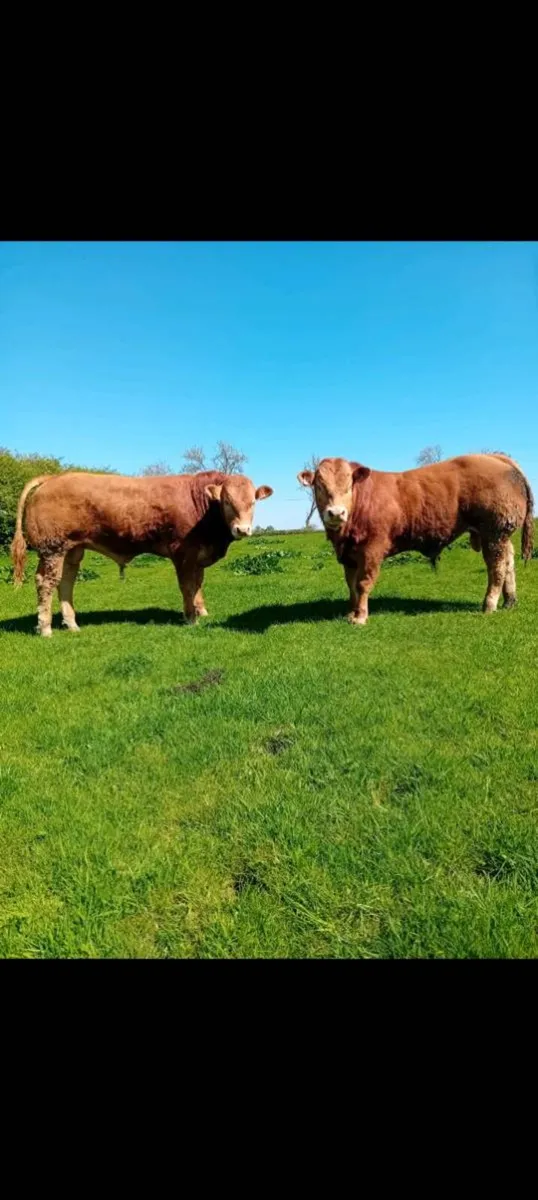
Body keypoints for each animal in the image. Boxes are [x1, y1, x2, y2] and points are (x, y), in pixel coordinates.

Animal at [11, 470, 273, 636]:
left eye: (253, 502)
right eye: (227, 501)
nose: (242, 529)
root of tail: (53, 477)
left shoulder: (198, 555)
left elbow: (198, 584)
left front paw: (202, 610)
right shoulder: (183, 553)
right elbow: (187, 586)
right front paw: (191, 617)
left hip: (72, 549)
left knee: (66, 582)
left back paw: (71, 624)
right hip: (52, 549)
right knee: (46, 583)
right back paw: (45, 628)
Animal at [298, 454, 534, 625]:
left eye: (349, 486)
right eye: (319, 485)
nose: (336, 513)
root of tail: (495, 456)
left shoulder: (372, 550)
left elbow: (363, 584)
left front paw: (361, 617)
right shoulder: (349, 555)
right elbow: (351, 585)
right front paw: (351, 613)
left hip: (494, 532)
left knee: (497, 568)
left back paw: (489, 604)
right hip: (501, 535)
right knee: (508, 562)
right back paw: (509, 601)